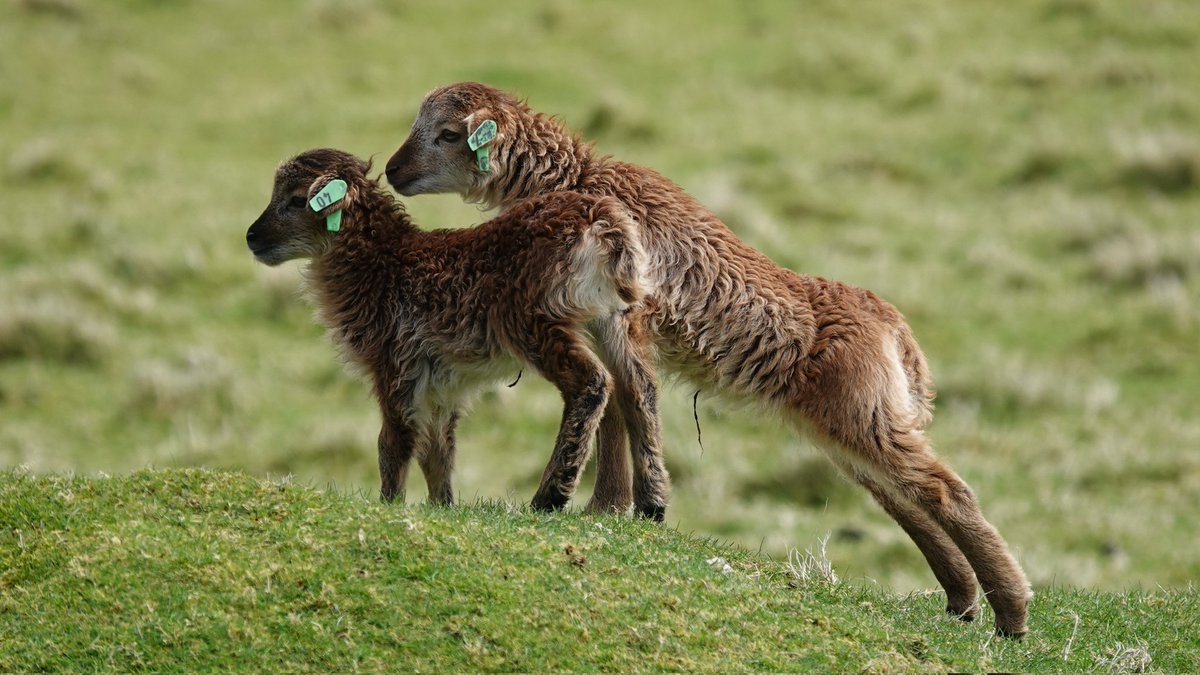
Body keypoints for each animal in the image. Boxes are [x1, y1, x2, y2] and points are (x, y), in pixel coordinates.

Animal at [245, 148, 667, 513]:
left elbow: (393, 443)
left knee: (592, 382)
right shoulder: (441, 384)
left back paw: (550, 496)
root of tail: (603, 224)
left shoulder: (395, 362)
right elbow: (438, 453)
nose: (252, 237)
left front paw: (389, 503)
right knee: (638, 388)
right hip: (616, 318)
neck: (382, 265)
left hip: (534, 320)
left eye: (297, 200)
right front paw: (442, 505)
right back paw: (653, 503)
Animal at [383, 83, 1032, 637]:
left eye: (446, 134)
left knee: (947, 492)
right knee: (908, 500)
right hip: (854, 425)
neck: (575, 180)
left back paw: (1012, 613)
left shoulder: (627, 319)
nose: (392, 171)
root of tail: (891, 326)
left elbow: (631, 400)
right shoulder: (596, 321)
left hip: (863, 419)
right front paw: (606, 508)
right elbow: (616, 410)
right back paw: (964, 603)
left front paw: (626, 506)